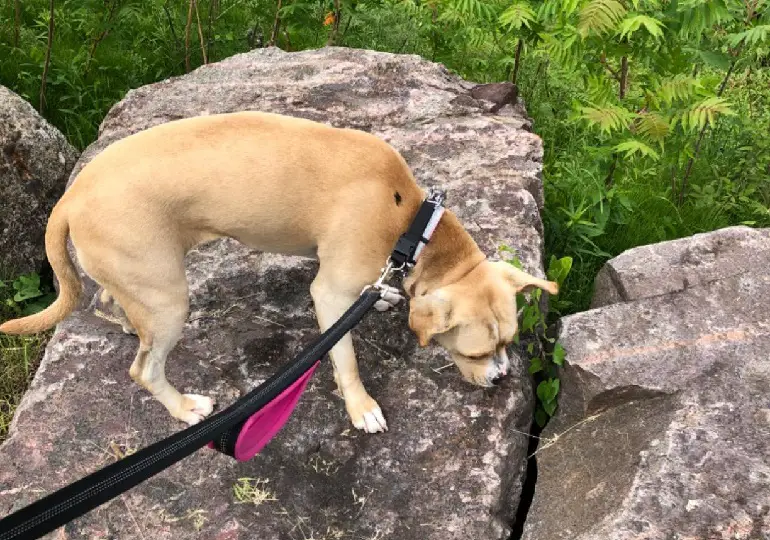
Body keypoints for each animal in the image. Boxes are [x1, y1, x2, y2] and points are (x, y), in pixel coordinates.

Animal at [0, 110, 556, 434]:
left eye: (510, 341)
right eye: (477, 352)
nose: (500, 379)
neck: (410, 222)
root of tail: (71, 196)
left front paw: (384, 297)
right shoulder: (330, 293)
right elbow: (345, 358)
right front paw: (361, 407)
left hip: (140, 282)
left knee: (110, 301)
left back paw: (121, 322)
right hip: (169, 298)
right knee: (144, 368)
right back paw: (182, 407)